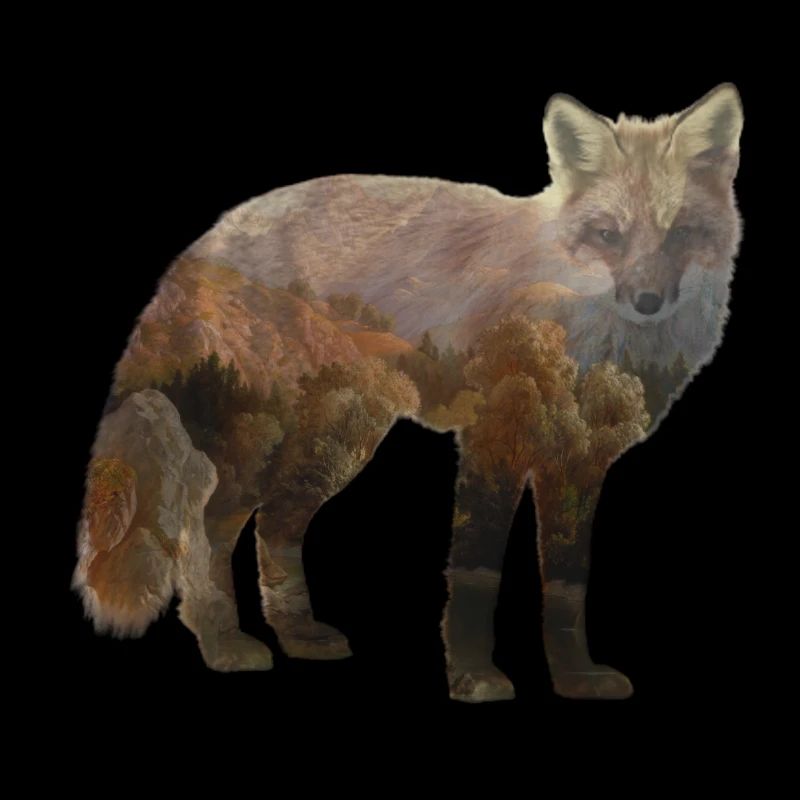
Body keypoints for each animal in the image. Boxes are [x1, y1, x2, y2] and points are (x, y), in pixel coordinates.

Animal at [74, 84, 743, 701]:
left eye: (681, 234)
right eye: (609, 235)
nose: (647, 302)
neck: (590, 336)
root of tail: (211, 236)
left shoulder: (579, 464)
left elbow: (568, 585)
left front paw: (576, 678)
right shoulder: (493, 441)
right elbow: (476, 572)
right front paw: (474, 677)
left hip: (337, 447)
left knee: (276, 527)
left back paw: (296, 634)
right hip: (258, 445)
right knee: (203, 533)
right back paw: (223, 644)